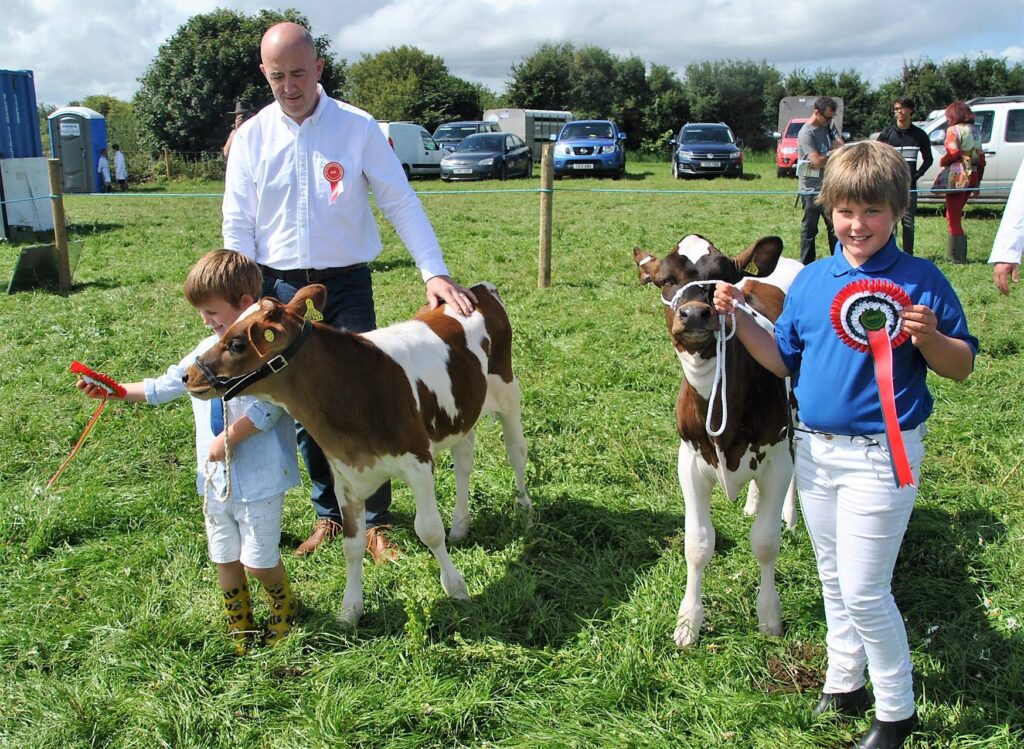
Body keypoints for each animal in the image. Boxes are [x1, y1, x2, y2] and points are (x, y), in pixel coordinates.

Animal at [184, 280, 532, 627]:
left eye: (237, 343)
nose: (189, 375)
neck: (354, 388)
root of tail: (480, 289)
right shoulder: (345, 476)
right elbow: (352, 545)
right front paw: (350, 609)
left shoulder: (418, 463)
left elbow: (429, 531)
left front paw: (455, 587)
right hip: (462, 412)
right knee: (463, 464)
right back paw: (460, 525)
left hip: (508, 389)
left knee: (516, 452)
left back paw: (524, 508)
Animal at [630, 235, 806, 651]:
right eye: (665, 280)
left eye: (724, 277)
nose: (694, 314)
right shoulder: (690, 463)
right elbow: (697, 544)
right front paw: (688, 623)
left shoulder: (776, 459)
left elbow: (765, 541)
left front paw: (769, 616)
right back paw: (753, 503)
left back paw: (790, 515)